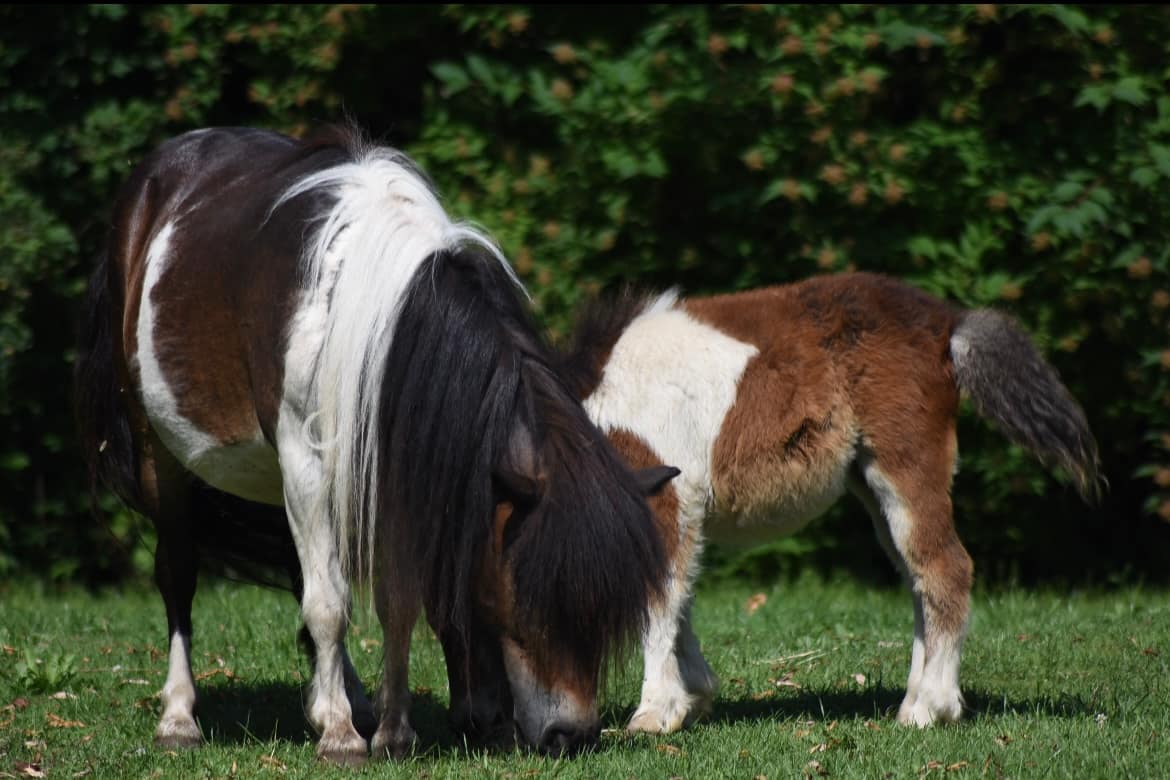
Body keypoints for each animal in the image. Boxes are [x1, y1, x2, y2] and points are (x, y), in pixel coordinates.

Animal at [73, 126, 678, 762]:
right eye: (530, 593)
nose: (573, 733)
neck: (370, 317)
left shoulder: (390, 472)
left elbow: (394, 604)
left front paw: (390, 730)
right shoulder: (305, 462)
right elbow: (329, 605)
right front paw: (342, 736)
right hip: (160, 456)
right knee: (180, 574)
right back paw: (180, 717)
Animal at [446, 272, 1101, 734]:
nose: (487, 720)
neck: (597, 416)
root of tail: (948, 322)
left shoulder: (665, 497)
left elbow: (659, 598)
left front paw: (655, 713)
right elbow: (678, 597)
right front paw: (694, 696)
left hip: (906, 466)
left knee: (945, 569)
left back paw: (928, 710)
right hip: (870, 485)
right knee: (919, 577)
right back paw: (917, 698)